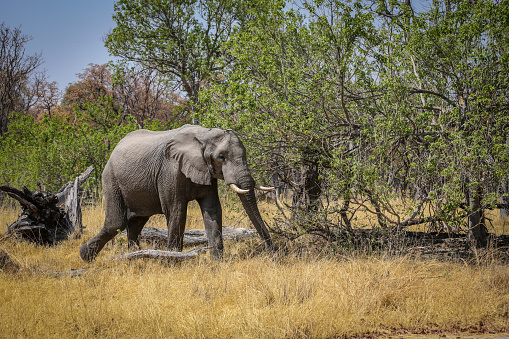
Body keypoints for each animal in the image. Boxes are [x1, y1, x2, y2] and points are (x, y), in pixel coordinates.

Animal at [78, 125, 274, 262]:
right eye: (221, 157)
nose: (274, 255)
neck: (203, 135)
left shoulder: (206, 172)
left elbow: (212, 210)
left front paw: (218, 262)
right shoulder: (169, 171)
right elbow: (177, 211)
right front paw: (173, 261)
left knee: (136, 222)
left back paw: (133, 256)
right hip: (110, 179)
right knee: (116, 222)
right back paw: (85, 256)